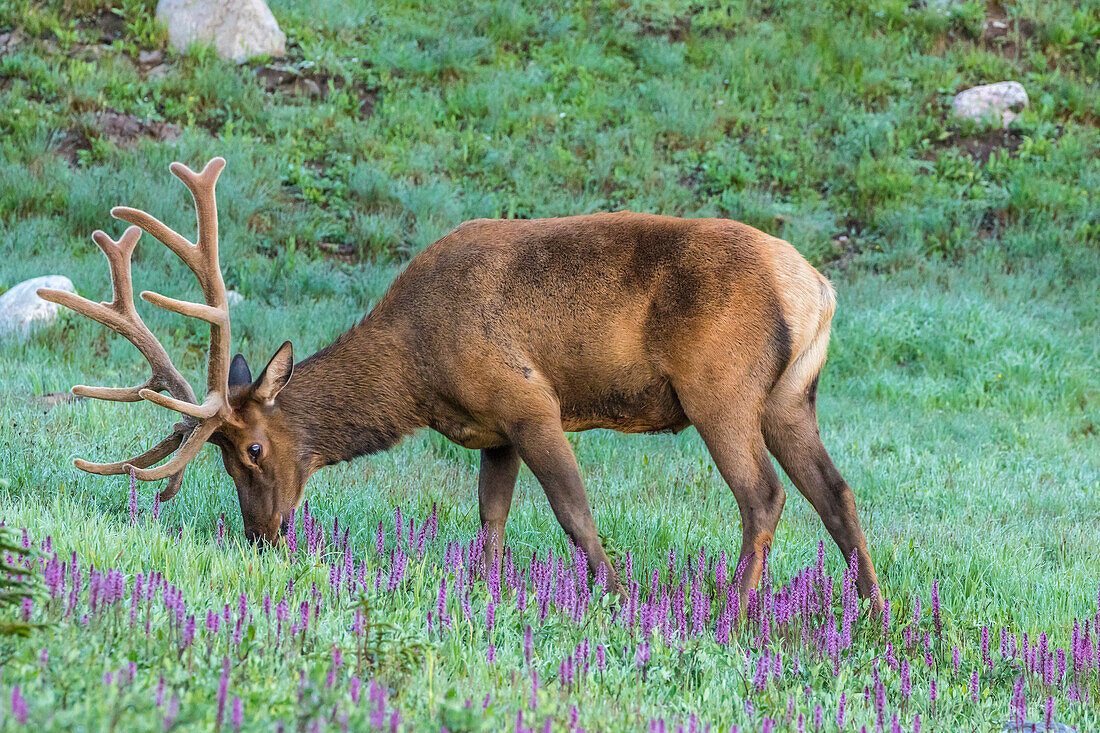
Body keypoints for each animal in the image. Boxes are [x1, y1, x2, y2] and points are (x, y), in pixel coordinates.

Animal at [40, 157, 884, 607]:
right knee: (836, 494)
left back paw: (733, 612)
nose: (261, 534)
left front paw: (612, 597)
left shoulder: (528, 399)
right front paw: (484, 595)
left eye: (250, 449)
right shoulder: (493, 432)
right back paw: (874, 614)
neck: (418, 372)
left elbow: (575, 514)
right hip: (790, 398)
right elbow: (492, 522)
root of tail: (817, 289)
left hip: (722, 387)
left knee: (764, 497)